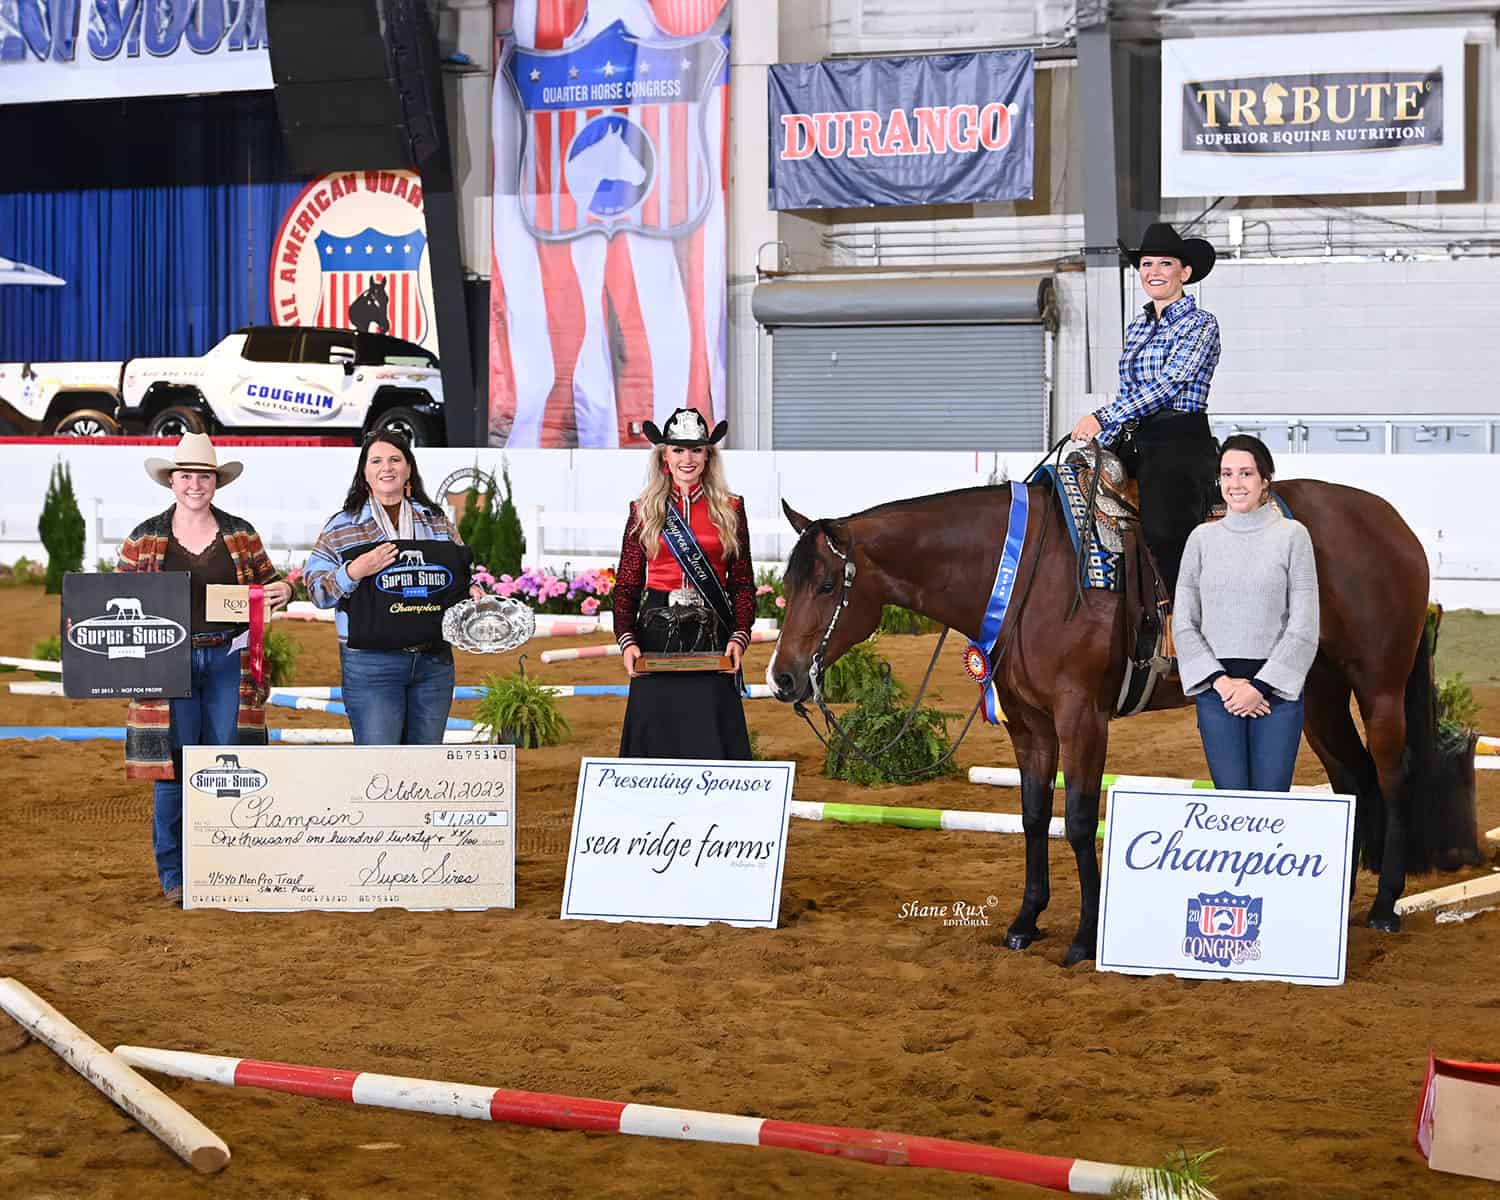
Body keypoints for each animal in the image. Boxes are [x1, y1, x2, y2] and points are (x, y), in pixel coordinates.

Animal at [768, 476, 1440, 967]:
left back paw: (1385, 906)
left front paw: (1084, 937)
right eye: (789, 588)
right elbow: (1034, 815)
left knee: (1392, 775)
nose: (783, 678)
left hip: (1378, 687)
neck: (1025, 573)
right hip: (1317, 693)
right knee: (1352, 779)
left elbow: (1078, 819)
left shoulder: (1082, 718)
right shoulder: (1030, 724)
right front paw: (1025, 922)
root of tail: (1391, 521)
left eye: (826, 586)